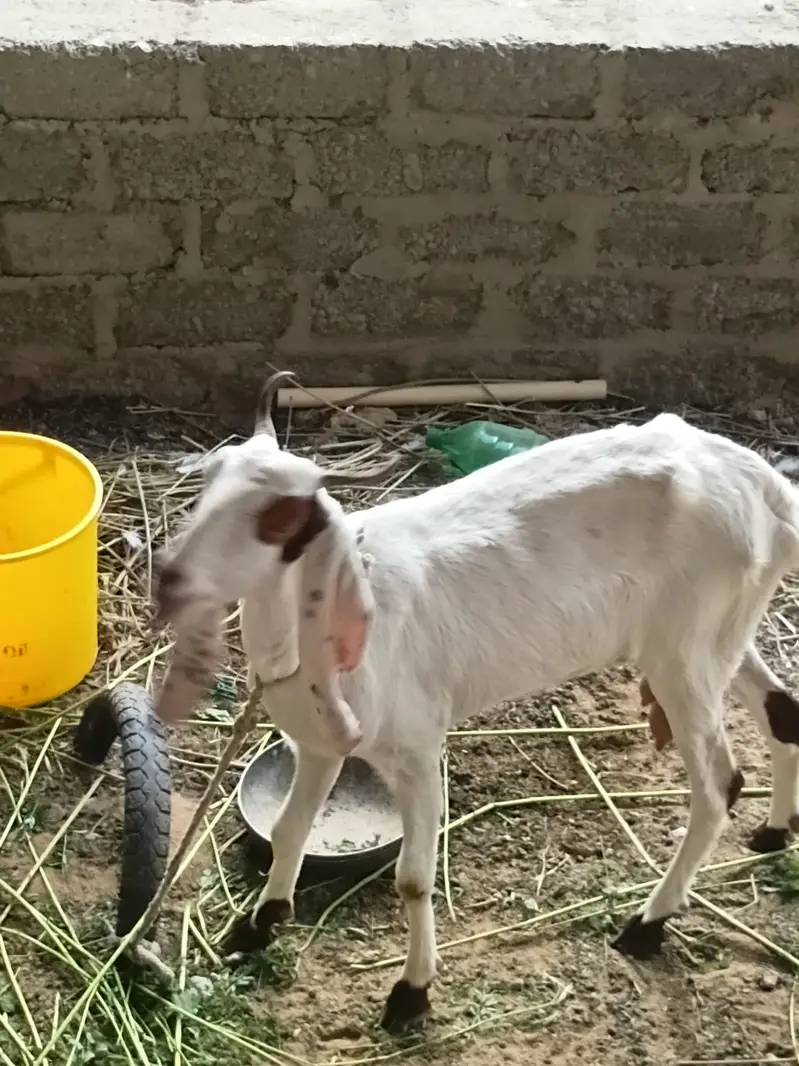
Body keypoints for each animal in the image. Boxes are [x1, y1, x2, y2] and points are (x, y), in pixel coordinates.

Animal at [152, 374, 799, 1033]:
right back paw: (774, 832)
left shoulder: (416, 749)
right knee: (781, 712)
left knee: (718, 786)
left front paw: (411, 993)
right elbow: (290, 831)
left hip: (685, 656)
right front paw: (256, 926)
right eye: (209, 480)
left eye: (280, 518)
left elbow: (413, 879)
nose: (169, 576)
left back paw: (648, 924)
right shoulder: (318, 742)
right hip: (716, 636)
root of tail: (767, 489)